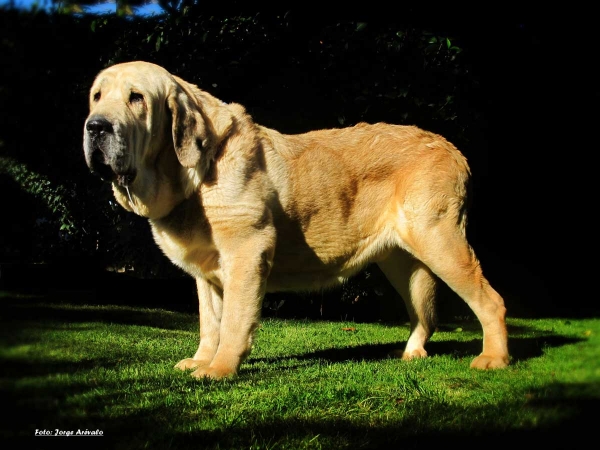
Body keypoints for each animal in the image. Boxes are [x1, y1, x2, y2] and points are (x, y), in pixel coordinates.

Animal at [82, 59, 508, 376]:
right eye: (97, 96)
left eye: (137, 98)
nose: (95, 126)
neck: (192, 174)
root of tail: (453, 149)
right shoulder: (207, 271)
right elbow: (209, 323)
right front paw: (202, 361)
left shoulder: (246, 254)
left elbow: (233, 321)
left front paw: (218, 369)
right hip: (402, 261)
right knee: (424, 313)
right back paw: (412, 352)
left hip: (440, 241)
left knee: (491, 301)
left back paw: (493, 358)